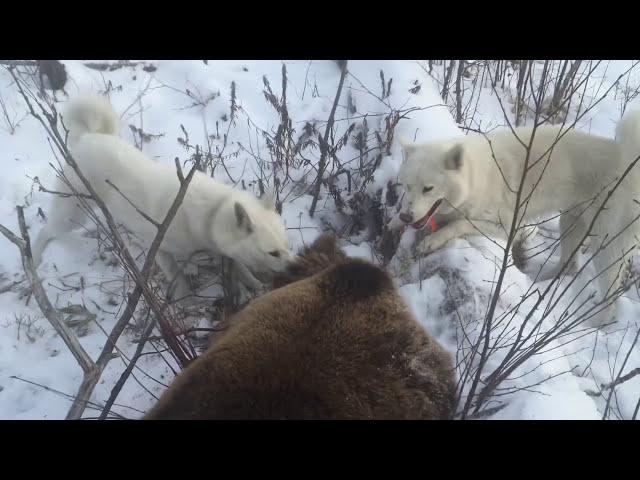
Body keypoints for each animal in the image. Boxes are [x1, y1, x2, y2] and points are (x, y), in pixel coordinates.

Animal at [33, 95, 294, 298]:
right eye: (273, 253)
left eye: (287, 245)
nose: (296, 265)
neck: (214, 212)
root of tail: (87, 137)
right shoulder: (161, 249)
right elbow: (177, 277)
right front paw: (185, 301)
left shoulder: (220, 247)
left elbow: (239, 266)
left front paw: (254, 284)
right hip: (72, 212)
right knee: (47, 230)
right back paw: (35, 257)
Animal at [398, 112, 640, 328]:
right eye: (407, 185)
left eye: (428, 189)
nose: (405, 216)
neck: (476, 176)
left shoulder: (506, 227)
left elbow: (459, 224)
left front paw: (432, 241)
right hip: (570, 222)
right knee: (570, 265)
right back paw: (541, 282)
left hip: (606, 246)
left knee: (610, 299)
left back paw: (593, 325)